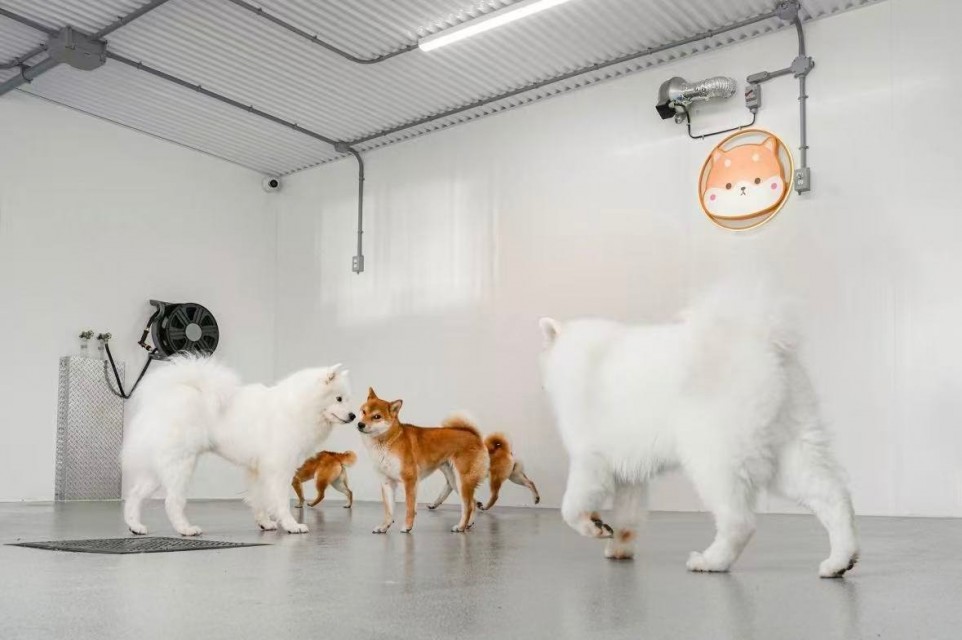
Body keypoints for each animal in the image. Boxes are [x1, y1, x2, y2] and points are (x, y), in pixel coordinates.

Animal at [122, 356, 355, 536]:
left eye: (347, 399)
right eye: (339, 398)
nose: (353, 416)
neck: (300, 406)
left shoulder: (258, 470)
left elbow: (259, 499)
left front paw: (265, 523)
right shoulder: (279, 469)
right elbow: (280, 501)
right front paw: (292, 525)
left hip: (157, 471)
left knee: (134, 495)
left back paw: (135, 526)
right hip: (181, 465)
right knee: (172, 501)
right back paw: (186, 529)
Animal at [357, 388, 488, 534]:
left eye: (377, 417)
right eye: (364, 411)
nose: (360, 424)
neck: (389, 441)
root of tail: (474, 435)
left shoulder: (410, 480)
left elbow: (409, 507)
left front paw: (407, 526)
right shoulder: (387, 482)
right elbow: (389, 511)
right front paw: (384, 526)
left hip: (462, 481)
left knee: (468, 506)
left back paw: (460, 526)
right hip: (454, 481)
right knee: (472, 503)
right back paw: (468, 524)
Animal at [538, 283, 859, 577]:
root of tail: (762, 343)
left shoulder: (588, 458)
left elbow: (571, 505)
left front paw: (591, 526)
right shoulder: (629, 469)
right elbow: (628, 516)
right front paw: (618, 546)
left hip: (716, 458)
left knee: (739, 522)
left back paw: (710, 561)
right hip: (790, 449)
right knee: (833, 497)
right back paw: (840, 561)